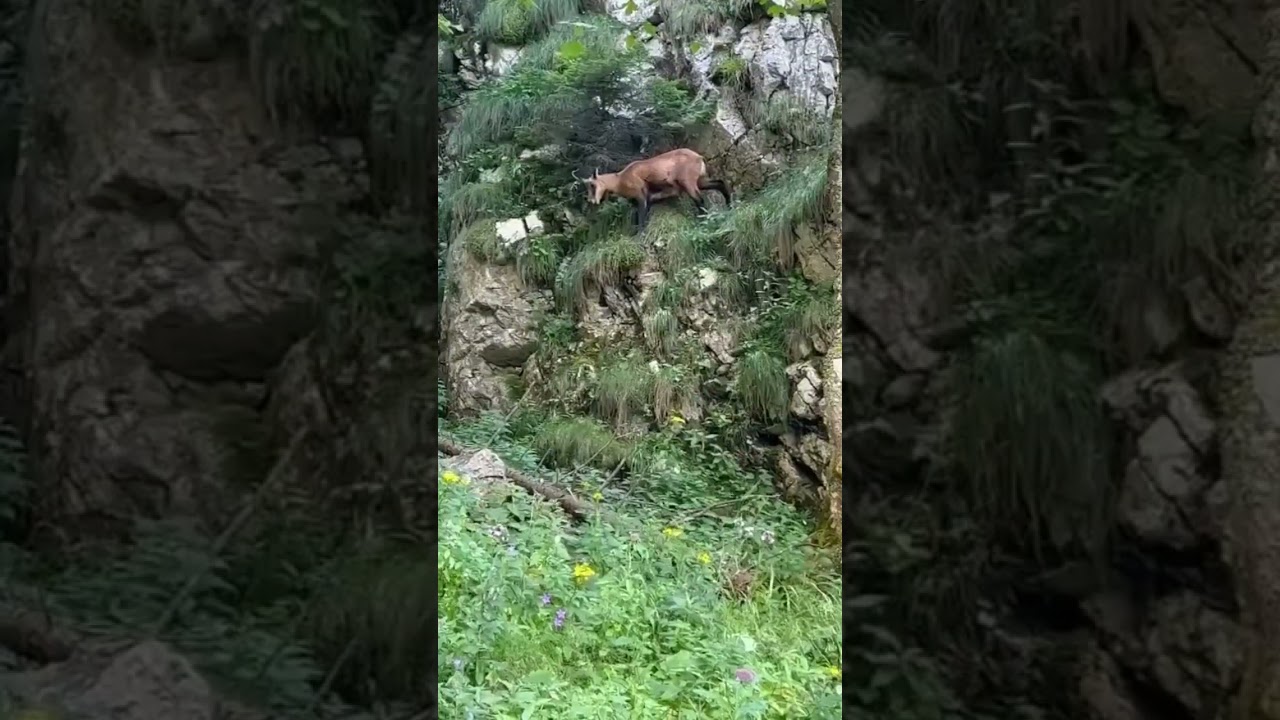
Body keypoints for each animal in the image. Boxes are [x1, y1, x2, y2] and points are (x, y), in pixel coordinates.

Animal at [574, 149, 732, 231]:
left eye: (592, 185)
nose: (592, 201)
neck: (620, 179)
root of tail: (699, 157)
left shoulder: (640, 194)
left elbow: (641, 217)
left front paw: (639, 236)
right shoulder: (649, 195)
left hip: (688, 182)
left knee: (700, 199)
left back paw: (702, 221)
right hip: (700, 181)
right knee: (719, 183)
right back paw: (729, 206)